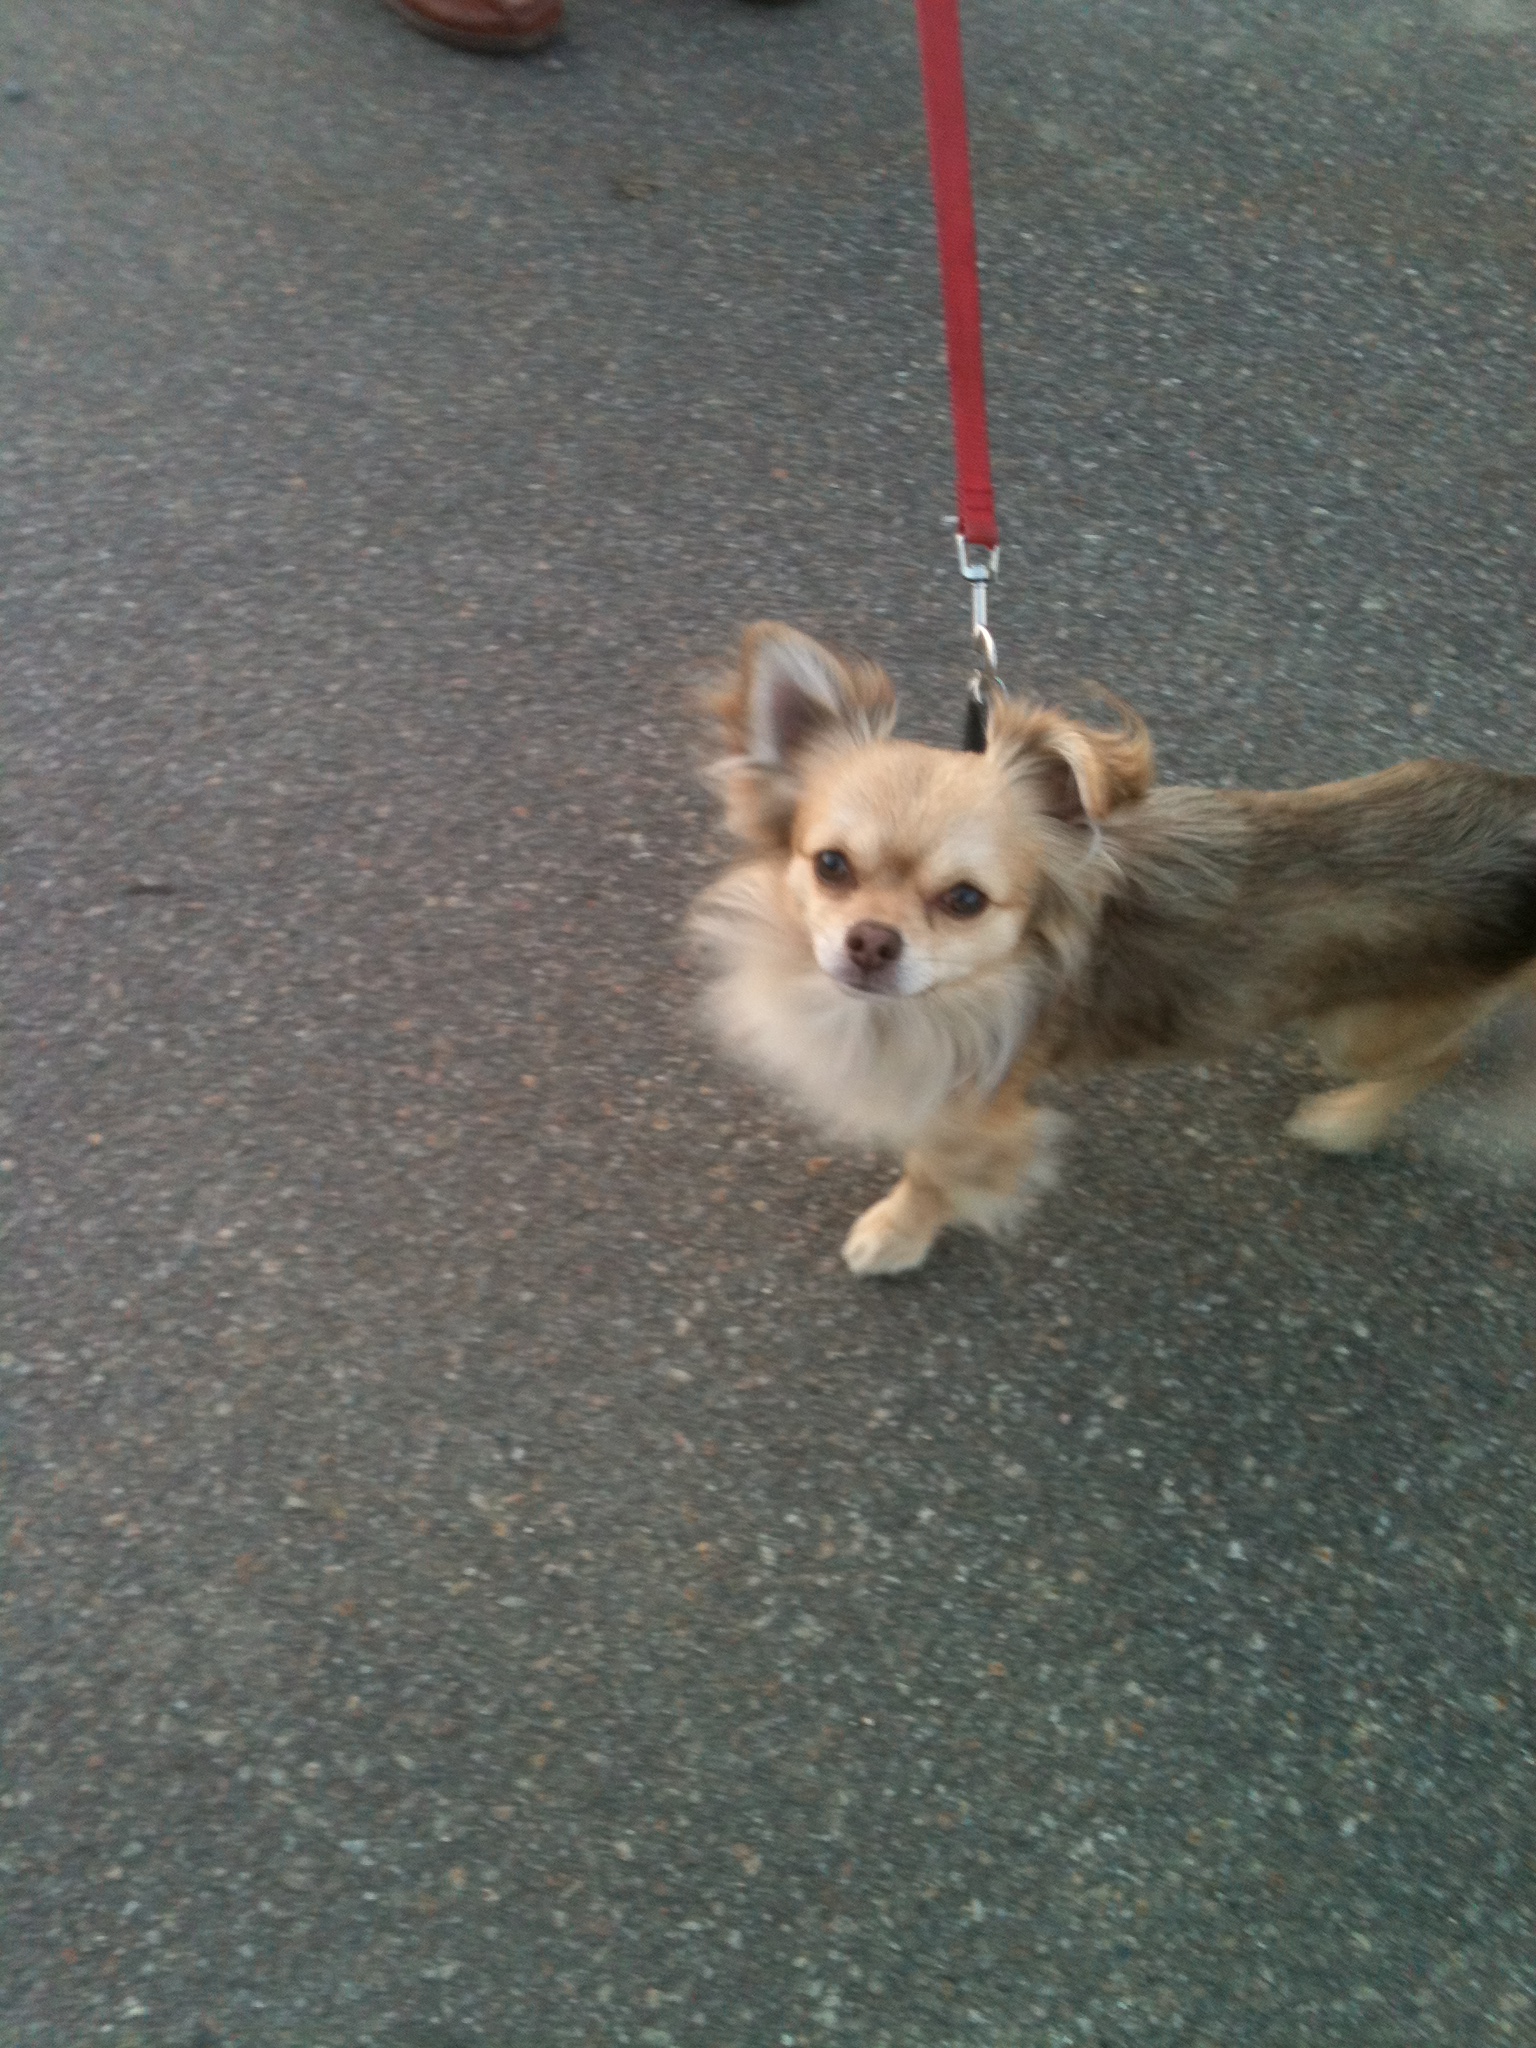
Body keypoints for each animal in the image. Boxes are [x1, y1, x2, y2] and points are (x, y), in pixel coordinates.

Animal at [690, 622, 1536, 1275]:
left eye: (964, 901)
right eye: (831, 866)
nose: (870, 941)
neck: (957, 994)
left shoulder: (978, 1112)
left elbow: (932, 1173)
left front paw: (899, 1233)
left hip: (1357, 1031)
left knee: (1443, 1056)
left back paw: (1345, 1123)